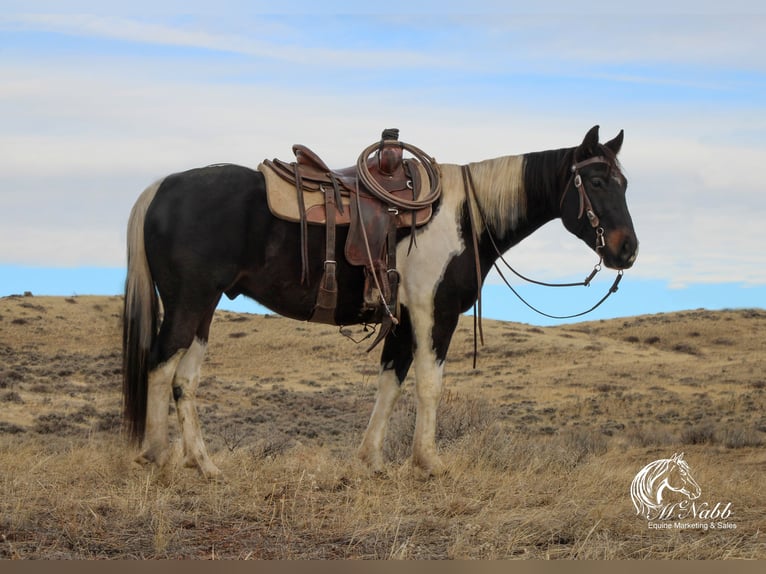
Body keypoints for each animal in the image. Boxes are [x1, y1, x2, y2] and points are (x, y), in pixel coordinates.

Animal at [123, 127, 640, 482]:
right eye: (596, 182)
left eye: (624, 183)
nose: (627, 249)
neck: (464, 215)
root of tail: (159, 188)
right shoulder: (434, 312)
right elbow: (429, 385)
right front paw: (428, 462)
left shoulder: (403, 320)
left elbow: (390, 382)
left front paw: (371, 459)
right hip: (189, 302)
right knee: (161, 365)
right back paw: (156, 455)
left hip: (205, 308)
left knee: (185, 380)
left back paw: (204, 465)